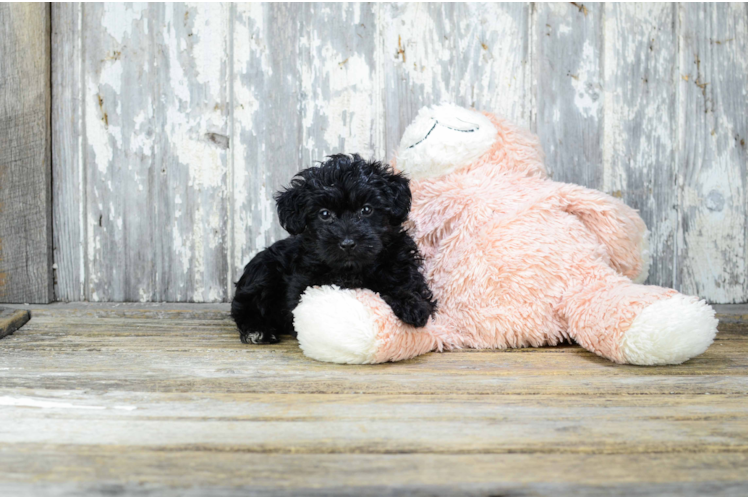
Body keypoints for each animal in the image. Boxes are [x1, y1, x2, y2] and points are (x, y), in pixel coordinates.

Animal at [231, 154, 436, 344]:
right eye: (324, 214)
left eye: (366, 209)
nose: (347, 243)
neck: (353, 268)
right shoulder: (304, 284)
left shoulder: (401, 262)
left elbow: (405, 284)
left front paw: (413, 304)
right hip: (264, 272)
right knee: (244, 307)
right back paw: (257, 330)